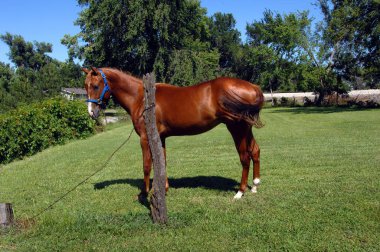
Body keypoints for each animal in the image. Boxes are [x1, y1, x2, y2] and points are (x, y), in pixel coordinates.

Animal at [81, 67, 262, 199]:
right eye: (85, 86)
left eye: (95, 86)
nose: (91, 112)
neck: (141, 98)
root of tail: (253, 87)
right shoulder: (160, 138)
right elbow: (162, 162)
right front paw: (164, 189)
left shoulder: (145, 138)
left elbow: (147, 165)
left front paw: (145, 194)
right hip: (247, 129)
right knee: (255, 151)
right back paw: (254, 185)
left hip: (237, 129)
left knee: (244, 157)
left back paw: (240, 192)